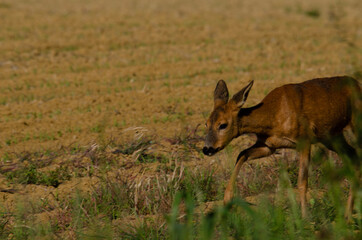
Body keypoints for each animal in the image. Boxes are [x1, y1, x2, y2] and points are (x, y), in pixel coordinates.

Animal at [204, 76, 362, 218]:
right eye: (206, 123)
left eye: (223, 125)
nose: (207, 149)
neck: (273, 116)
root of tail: (357, 84)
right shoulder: (268, 145)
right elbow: (241, 154)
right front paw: (227, 200)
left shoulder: (304, 139)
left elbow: (302, 182)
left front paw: (305, 219)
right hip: (332, 137)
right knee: (354, 157)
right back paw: (347, 215)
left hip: (354, 124)